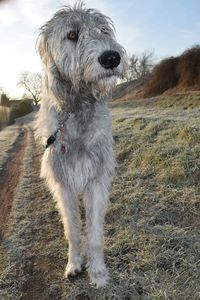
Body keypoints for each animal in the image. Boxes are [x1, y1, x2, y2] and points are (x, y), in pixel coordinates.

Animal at [35, 2, 126, 288]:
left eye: (103, 30)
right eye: (72, 35)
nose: (111, 58)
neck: (75, 108)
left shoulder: (96, 178)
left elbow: (94, 233)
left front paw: (97, 272)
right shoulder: (63, 183)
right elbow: (73, 230)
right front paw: (74, 263)